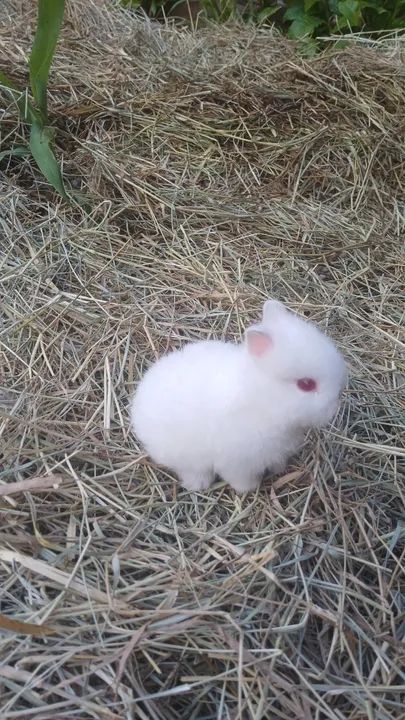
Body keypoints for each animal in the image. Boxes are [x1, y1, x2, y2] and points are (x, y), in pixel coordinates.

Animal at [130, 299, 347, 493]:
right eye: (306, 384)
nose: (335, 405)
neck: (262, 402)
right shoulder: (237, 464)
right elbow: (240, 479)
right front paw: (249, 489)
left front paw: (279, 470)